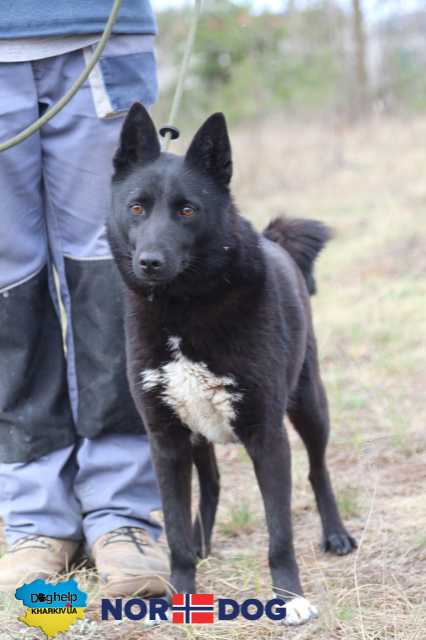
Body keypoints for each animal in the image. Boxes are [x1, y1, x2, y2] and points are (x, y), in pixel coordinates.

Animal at [107, 105, 356, 624]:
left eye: (187, 210)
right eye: (137, 208)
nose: (150, 262)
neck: (183, 310)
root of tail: (274, 237)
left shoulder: (266, 435)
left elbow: (279, 534)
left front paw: (289, 598)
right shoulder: (166, 440)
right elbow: (175, 534)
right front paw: (180, 594)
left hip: (309, 404)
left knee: (318, 470)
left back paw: (336, 535)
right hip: (198, 429)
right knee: (213, 482)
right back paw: (203, 543)